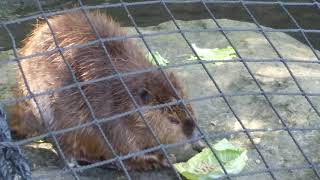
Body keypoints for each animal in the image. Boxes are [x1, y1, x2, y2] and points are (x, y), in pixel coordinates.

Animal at [11, 10, 202, 170]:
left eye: (190, 110)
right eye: (172, 120)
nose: (198, 143)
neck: (120, 93)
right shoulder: (105, 115)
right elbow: (124, 150)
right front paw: (162, 159)